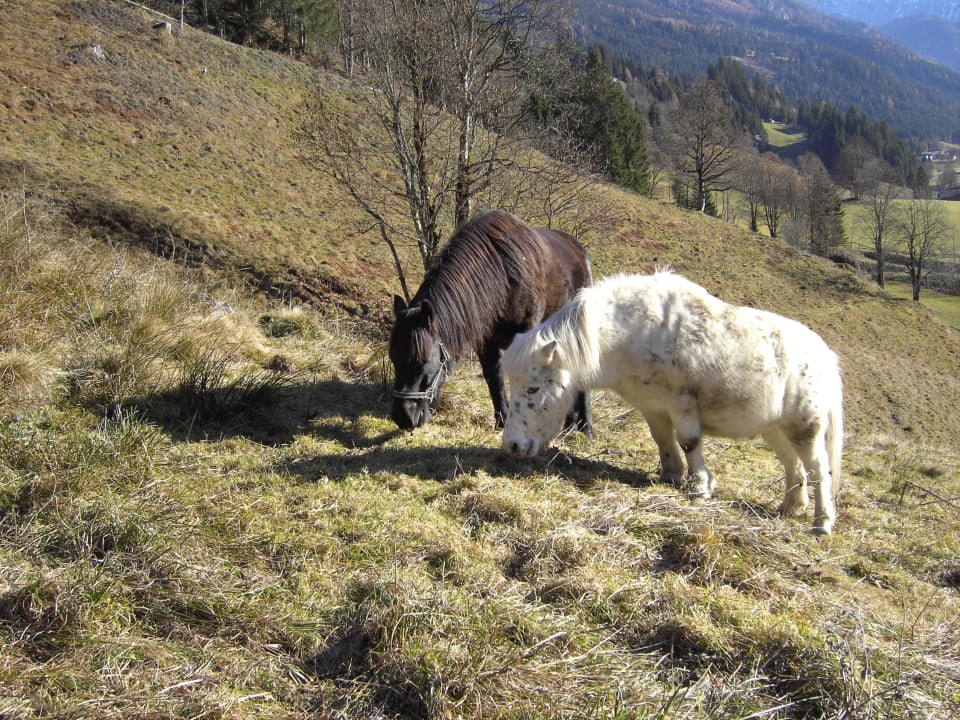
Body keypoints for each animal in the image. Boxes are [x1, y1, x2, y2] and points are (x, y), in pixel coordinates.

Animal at [389, 209, 593, 433]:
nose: (403, 417)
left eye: (424, 361)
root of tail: (579, 253)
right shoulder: (486, 344)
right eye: (393, 359)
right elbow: (494, 379)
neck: (504, 277)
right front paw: (502, 421)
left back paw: (585, 427)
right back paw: (569, 425)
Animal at [500, 271, 844, 535]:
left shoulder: (681, 402)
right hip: (775, 430)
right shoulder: (652, 406)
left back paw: (822, 522)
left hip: (806, 427)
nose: (513, 446)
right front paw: (671, 475)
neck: (632, 332)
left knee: (819, 469)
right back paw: (791, 507)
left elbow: (689, 441)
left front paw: (700, 486)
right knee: (793, 466)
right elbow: (662, 439)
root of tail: (825, 356)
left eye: (532, 389)